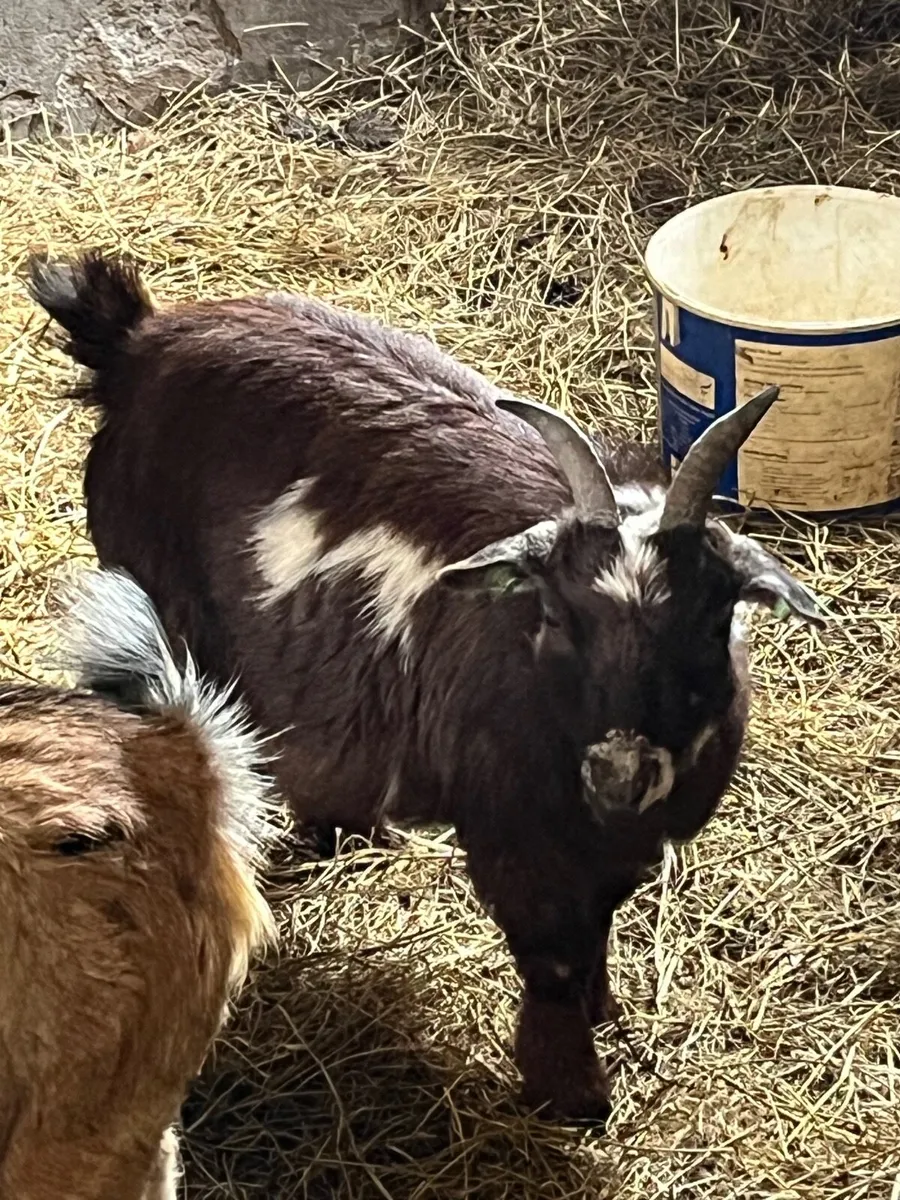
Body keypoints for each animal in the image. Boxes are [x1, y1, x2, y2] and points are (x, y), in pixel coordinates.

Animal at [29, 250, 821, 1122]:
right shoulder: (517, 835)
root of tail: (136, 340)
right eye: (554, 613)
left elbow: (599, 928)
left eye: (713, 619)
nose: (620, 772)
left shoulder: (614, 844)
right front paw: (571, 1093)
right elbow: (554, 955)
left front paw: (604, 1012)